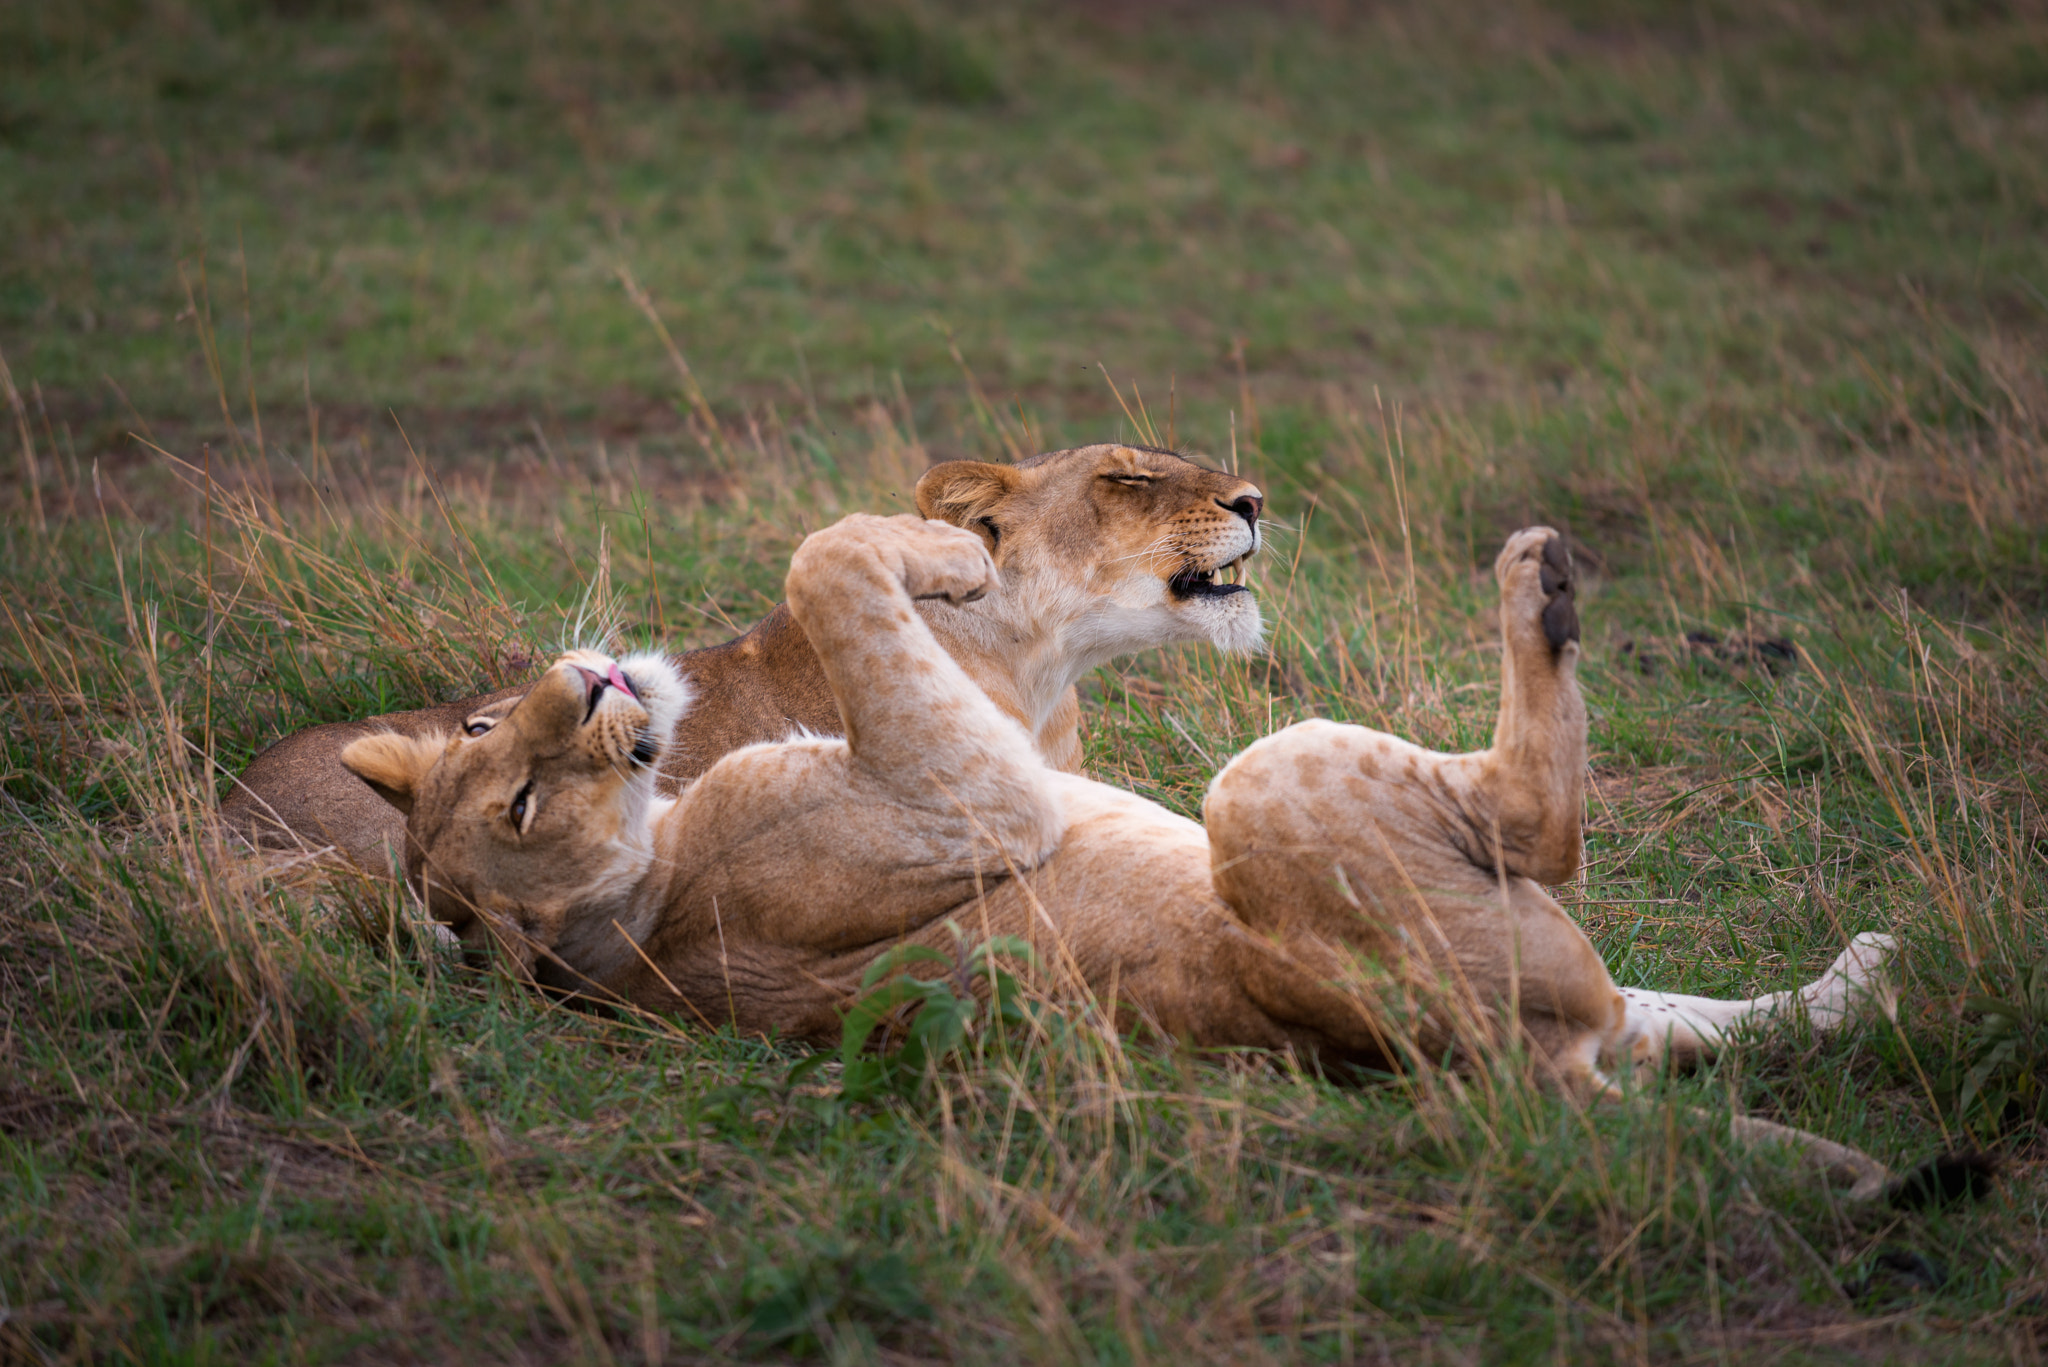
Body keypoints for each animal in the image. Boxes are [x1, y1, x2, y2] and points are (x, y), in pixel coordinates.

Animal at [343, 513, 1921, 1200]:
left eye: (485, 732)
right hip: (1278, 780)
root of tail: (1522, 1079)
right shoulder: (970, 804)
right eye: (520, 806)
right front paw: (949, 549)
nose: (587, 684)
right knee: (1542, 823)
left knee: (1694, 1023)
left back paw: (1866, 974)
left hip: (1575, 1004)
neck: (647, 869)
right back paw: (1537, 583)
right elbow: (825, 556)